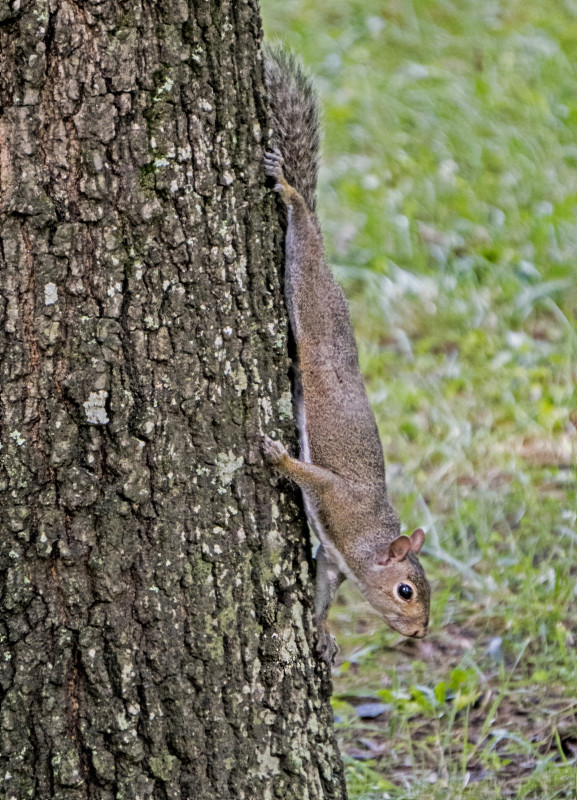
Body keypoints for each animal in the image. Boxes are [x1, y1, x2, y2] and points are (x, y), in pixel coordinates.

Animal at [260, 47, 428, 664]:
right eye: (405, 591)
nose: (420, 632)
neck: (368, 540)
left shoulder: (332, 563)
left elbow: (321, 592)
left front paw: (322, 633)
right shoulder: (338, 498)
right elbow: (311, 475)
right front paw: (277, 458)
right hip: (311, 300)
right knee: (303, 233)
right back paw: (289, 191)